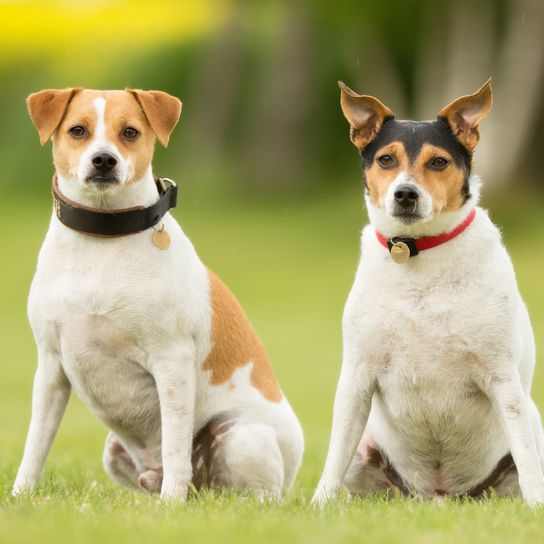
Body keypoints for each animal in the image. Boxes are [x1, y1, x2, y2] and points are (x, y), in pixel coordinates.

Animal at [10, 87, 304, 500]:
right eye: (78, 130)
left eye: (130, 132)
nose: (104, 159)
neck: (102, 240)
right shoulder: (51, 366)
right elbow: (36, 443)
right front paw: (22, 495)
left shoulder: (172, 362)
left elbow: (176, 446)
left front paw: (171, 503)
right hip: (113, 452)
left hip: (239, 438)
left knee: (255, 493)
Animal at [310, 79, 544, 506]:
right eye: (386, 159)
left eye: (438, 162)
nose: (406, 194)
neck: (417, 253)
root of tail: (439, 494)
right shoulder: (356, 378)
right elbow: (334, 457)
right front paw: (319, 505)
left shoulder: (504, 381)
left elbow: (527, 459)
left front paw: (537, 507)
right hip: (367, 454)